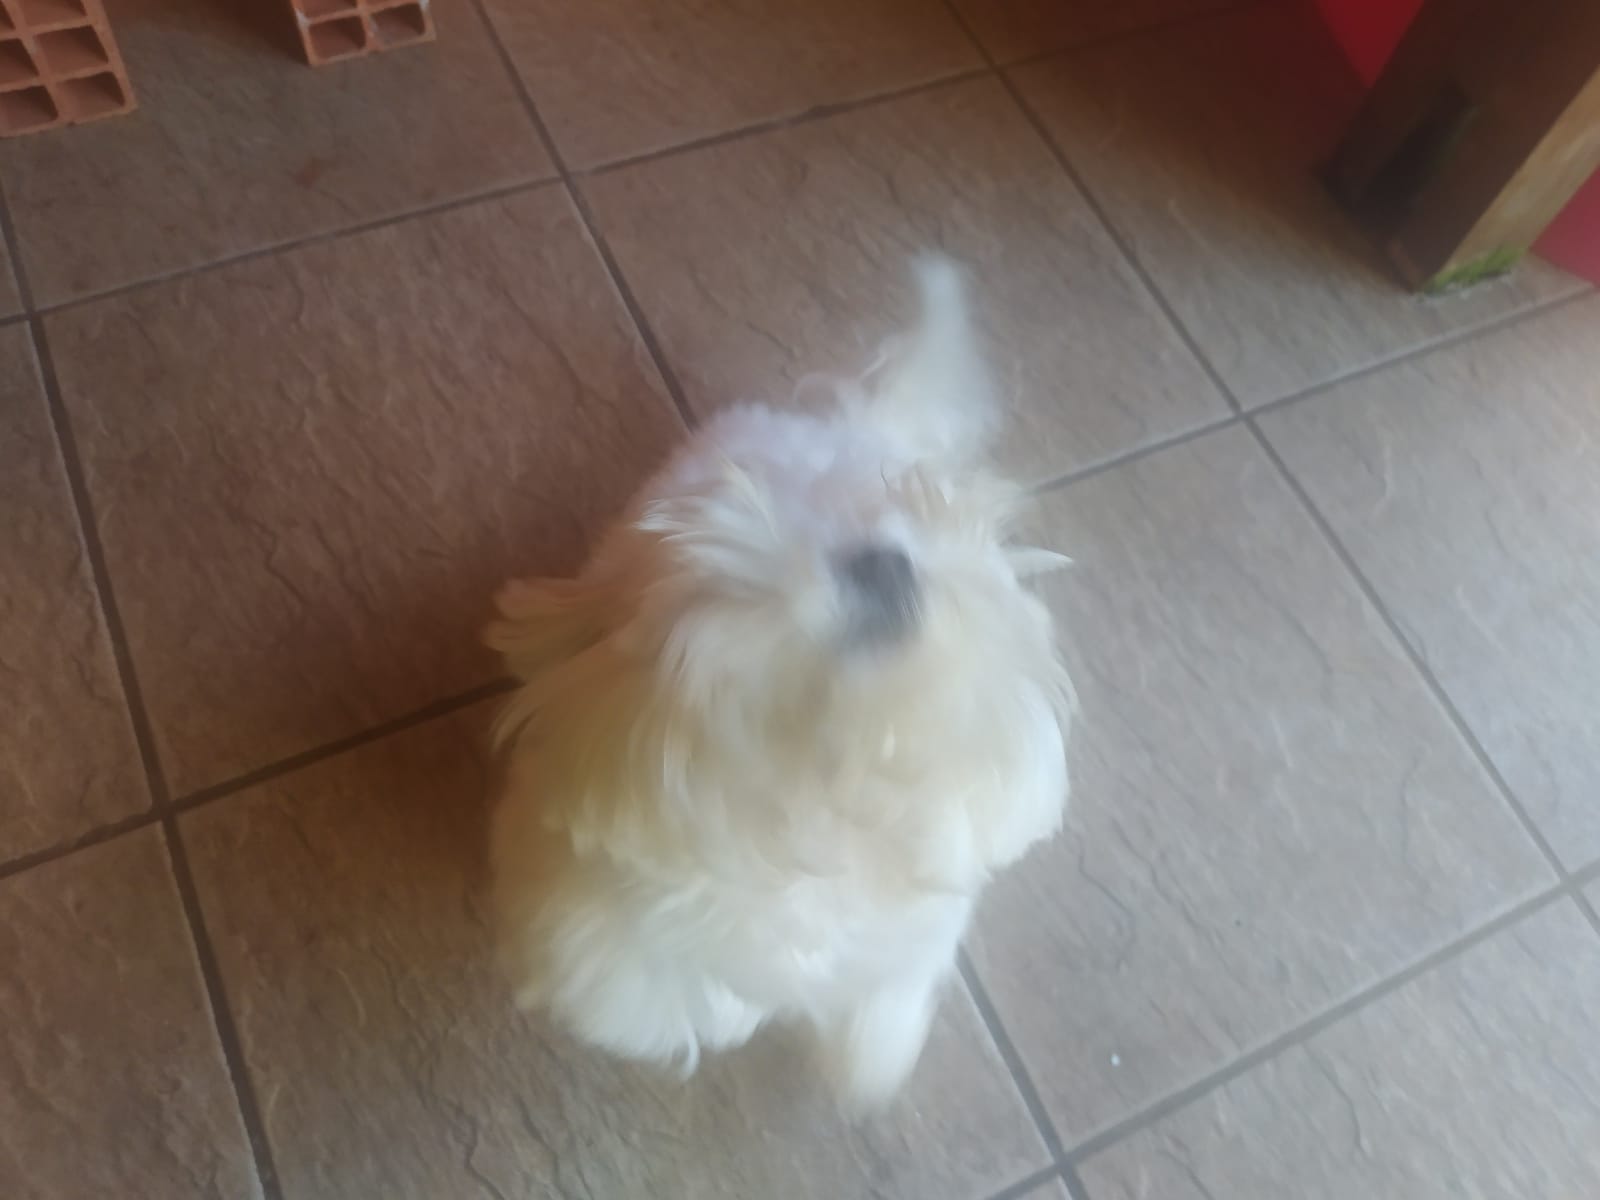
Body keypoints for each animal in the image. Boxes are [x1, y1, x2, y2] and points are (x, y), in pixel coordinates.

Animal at [486, 257, 1073, 1108]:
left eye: (899, 504)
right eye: (745, 549)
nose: (883, 562)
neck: (818, 795)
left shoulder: (917, 924)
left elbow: (884, 1004)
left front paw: (865, 1064)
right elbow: (650, 996)